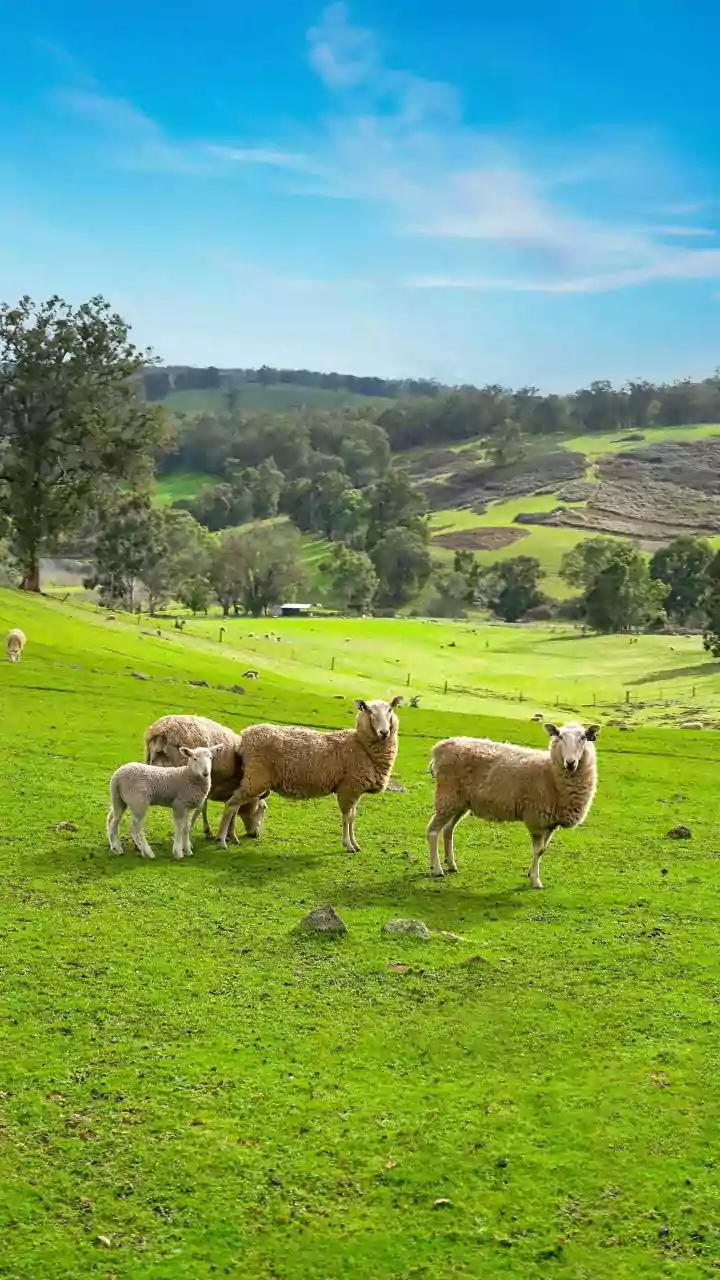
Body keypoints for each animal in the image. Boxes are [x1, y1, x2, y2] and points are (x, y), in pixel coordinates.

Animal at [144, 713, 267, 843]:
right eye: (263, 808)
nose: (256, 835)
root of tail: (161, 731)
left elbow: (204, 807)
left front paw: (210, 832)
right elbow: (233, 810)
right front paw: (231, 835)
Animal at [216, 696, 404, 853]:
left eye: (390, 710)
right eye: (369, 711)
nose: (384, 732)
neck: (361, 746)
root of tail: (245, 736)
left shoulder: (355, 790)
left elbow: (352, 818)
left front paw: (355, 844)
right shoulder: (347, 788)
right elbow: (346, 818)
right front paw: (348, 845)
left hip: (251, 778)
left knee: (235, 805)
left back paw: (231, 837)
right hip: (256, 777)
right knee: (231, 804)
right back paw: (222, 840)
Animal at [426, 721, 600, 889]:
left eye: (583, 737)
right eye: (560, 736)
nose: (570, 763)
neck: (551, 773)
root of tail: (440, 747)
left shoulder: (551, 822)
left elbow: (542, 850)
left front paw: (531, 873)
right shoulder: (536, 819)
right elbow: (538, 850)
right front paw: (535, 880)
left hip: (459, 802)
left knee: (448, 829)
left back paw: (451, 864)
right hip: (447, 796)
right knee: (433, 831)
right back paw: (437, 869)